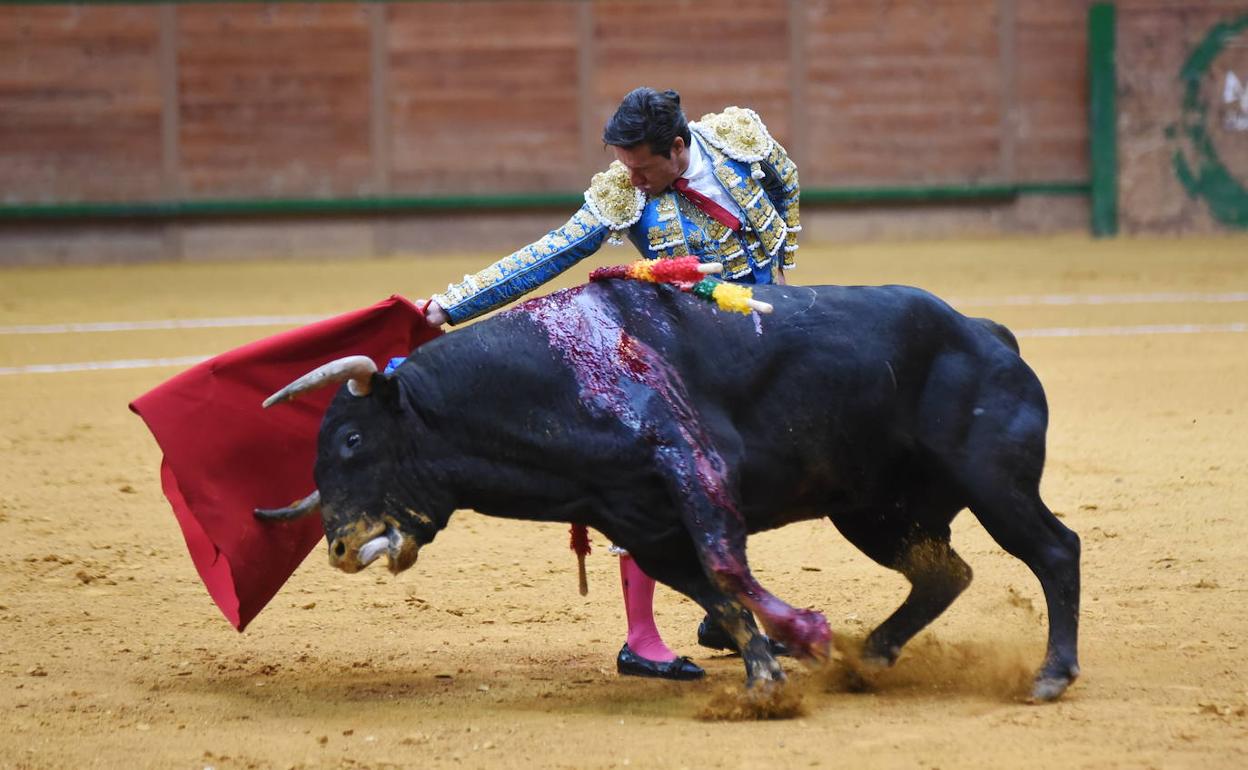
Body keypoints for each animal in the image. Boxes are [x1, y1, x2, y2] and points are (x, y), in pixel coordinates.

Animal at [258, 279, 1078, 698]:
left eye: (352, 440)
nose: (339, 548)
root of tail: (987, 331)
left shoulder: (695, 463)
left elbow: (726, 568)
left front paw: (806, 637)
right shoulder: (641, 525)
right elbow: (716, 591)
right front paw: (765, 678)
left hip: (993, 483)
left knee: (1054, 549)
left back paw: (1048, 676)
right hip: (874, 512)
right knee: (946, 572)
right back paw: (869, 658)